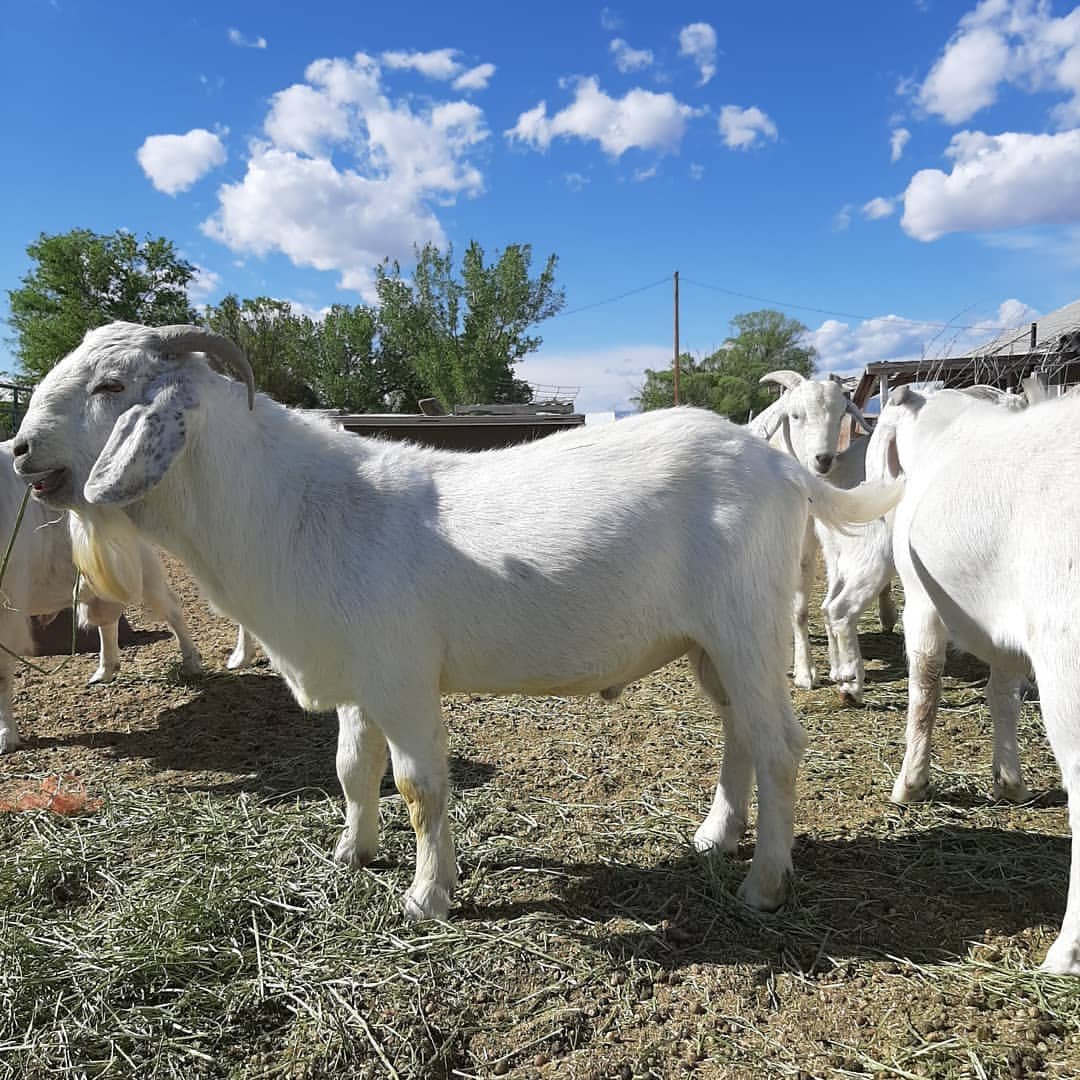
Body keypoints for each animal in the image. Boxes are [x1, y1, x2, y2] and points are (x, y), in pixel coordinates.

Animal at [0, 441, 202, 754]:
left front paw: (6, 735)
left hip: (141, 570)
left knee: (171, 607)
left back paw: (191, 662)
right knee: (107, 621)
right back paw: (105, 669)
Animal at [747, 371, 870, 688]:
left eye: (841, 415)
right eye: (795, 415)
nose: (823, 459)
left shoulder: (815, 545)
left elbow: (817, 605)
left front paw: (831, 667)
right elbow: (797, 609)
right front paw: (804, 672)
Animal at [876, 384, 1080, 973]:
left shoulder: (922, 601)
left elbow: (925, 687)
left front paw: (910, 785)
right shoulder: (1006, 628)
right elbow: (1002, 694)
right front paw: (1009, 782)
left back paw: (1065, 952)